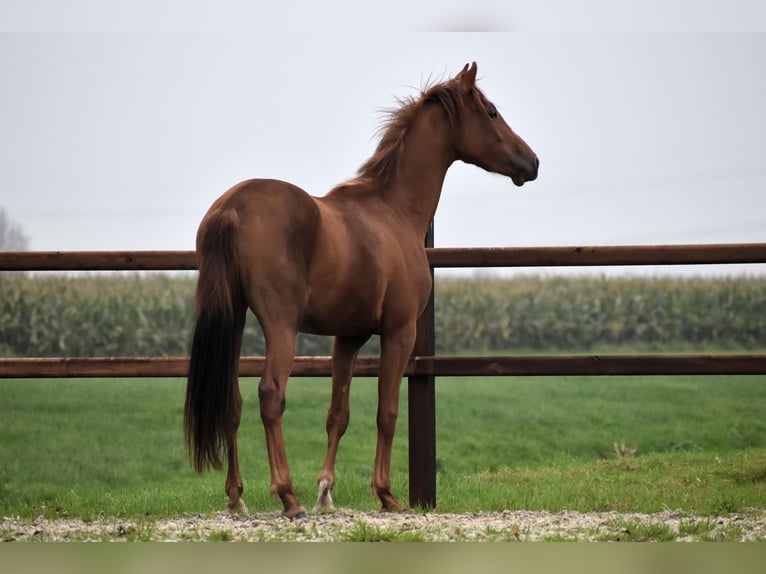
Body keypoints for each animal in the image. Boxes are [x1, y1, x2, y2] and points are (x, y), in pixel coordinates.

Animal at [184, 60, 540, 520]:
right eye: (492, 112)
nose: (532, 162)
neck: (394, 210)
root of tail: (232, 207)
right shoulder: (400, 331)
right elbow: (386, 412)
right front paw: (385, 494)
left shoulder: (348, 336)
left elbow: (338, 413)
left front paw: (326, 492)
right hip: (279, 324)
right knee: (270, 395)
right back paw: (288, 496)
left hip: (233, 317)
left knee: (232, 401)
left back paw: (237, 495)